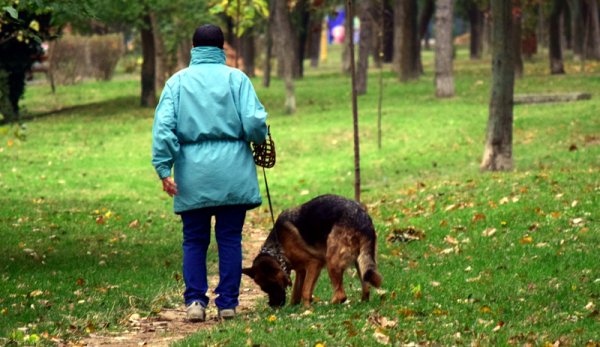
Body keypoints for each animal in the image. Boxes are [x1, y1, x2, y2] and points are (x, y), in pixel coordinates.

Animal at [241, 196, 382, 308]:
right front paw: (293, 308)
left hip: (332, 261)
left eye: (270, 285)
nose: (272, 306)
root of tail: (363, 219)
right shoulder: (301, 271)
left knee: (341, 295)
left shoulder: (314, 264)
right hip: (360, 262)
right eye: (263, 288)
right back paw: (362, 303)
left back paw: (328, 306)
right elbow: (296, 292)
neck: (278, 248)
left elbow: (305, 290)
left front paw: (306, 309)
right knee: (366, 287)